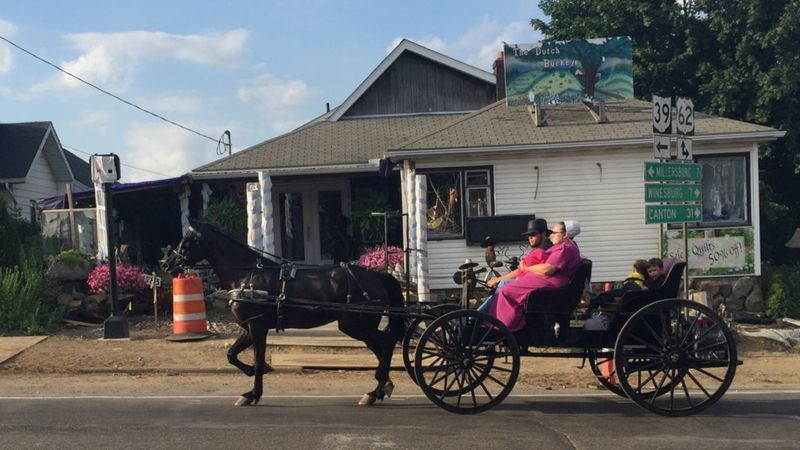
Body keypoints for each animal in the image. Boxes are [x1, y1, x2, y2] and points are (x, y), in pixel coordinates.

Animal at [161, 221, 406, 408]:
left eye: (187, 241)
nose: (167, 264)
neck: (247, 276)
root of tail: (376, 276)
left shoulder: (257, 327)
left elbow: (257, 359)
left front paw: (253, 393)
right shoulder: (249, 327)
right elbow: (231, 355)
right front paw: (254, 375)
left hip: (355, 325)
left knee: (386, 344)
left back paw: (376, 389)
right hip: (359, 326)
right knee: (382, 348)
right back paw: (379, 389)